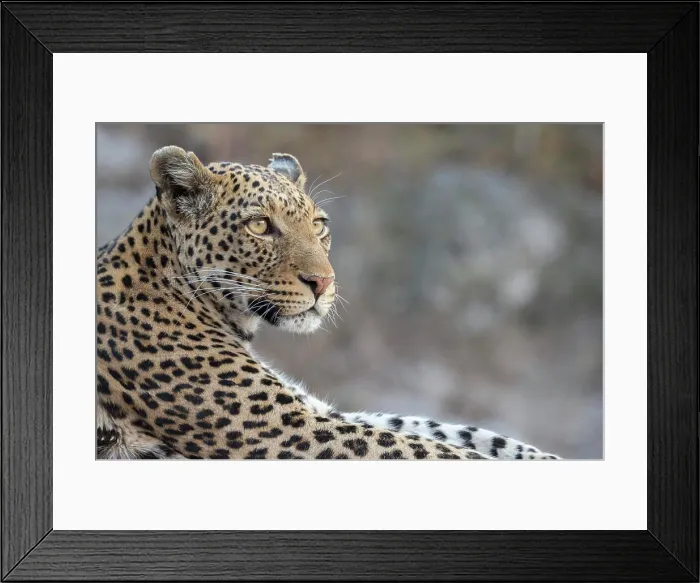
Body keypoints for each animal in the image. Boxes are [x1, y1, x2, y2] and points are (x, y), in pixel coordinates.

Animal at [96, 145, 561, 461]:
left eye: (319, 225)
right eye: (259, 226)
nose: (323, 282)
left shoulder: (315, 410)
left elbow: (443, 430)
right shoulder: (292, 429)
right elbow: (424, 447)